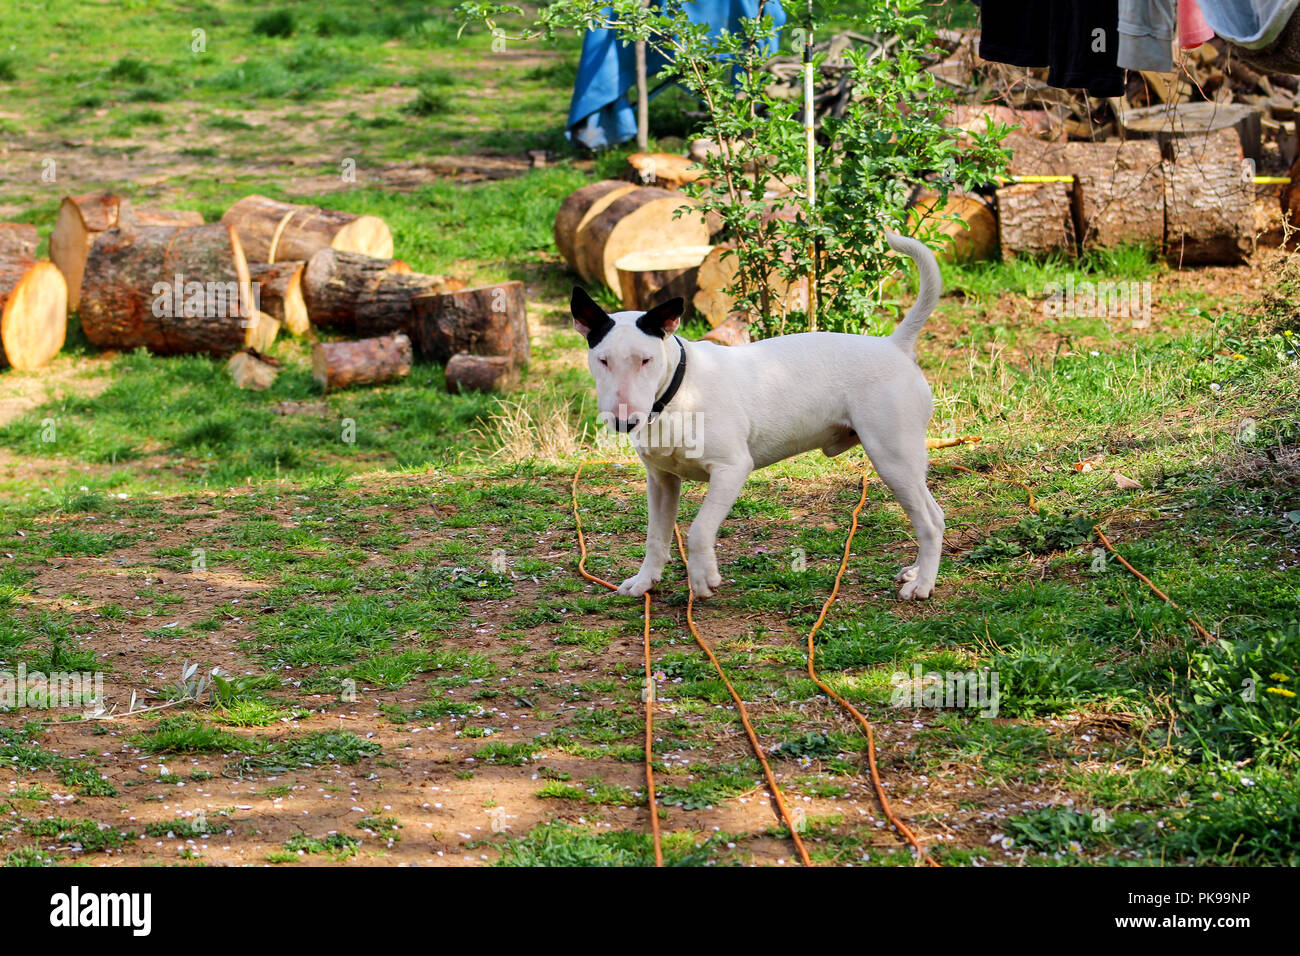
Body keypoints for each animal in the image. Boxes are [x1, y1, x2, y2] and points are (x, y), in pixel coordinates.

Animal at [572, 232, 946, 600]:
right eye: (603, 360)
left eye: (646, 360)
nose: (624, 421)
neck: (679, 390)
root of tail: (894, 345)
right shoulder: (661, 480)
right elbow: (656, 536)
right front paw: (644, 581)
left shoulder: (731, 469)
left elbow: (699, 528)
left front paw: (704, 578)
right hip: (903, 462)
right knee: (936, 515)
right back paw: (917, 571)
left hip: (892, 457)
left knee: (928, 522)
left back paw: (922, 584)